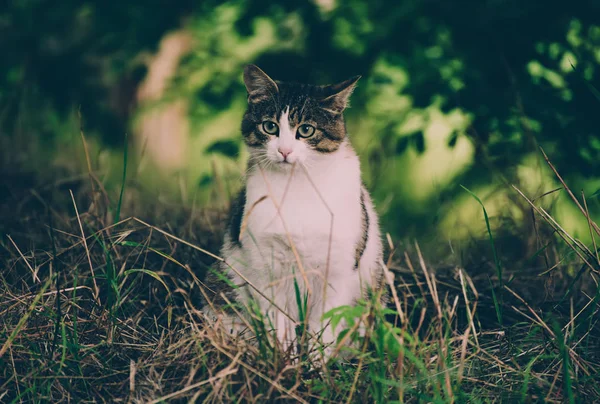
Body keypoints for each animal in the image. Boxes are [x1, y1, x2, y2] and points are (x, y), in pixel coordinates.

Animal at [204, 64, 386, 358]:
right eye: (270, 126)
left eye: (307, 130)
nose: (285, 150)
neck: (297, 186)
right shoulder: (267, 268)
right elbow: (278, 324)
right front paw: (282, 360)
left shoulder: (336, 271)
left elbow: (322, 329)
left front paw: (314, 364)